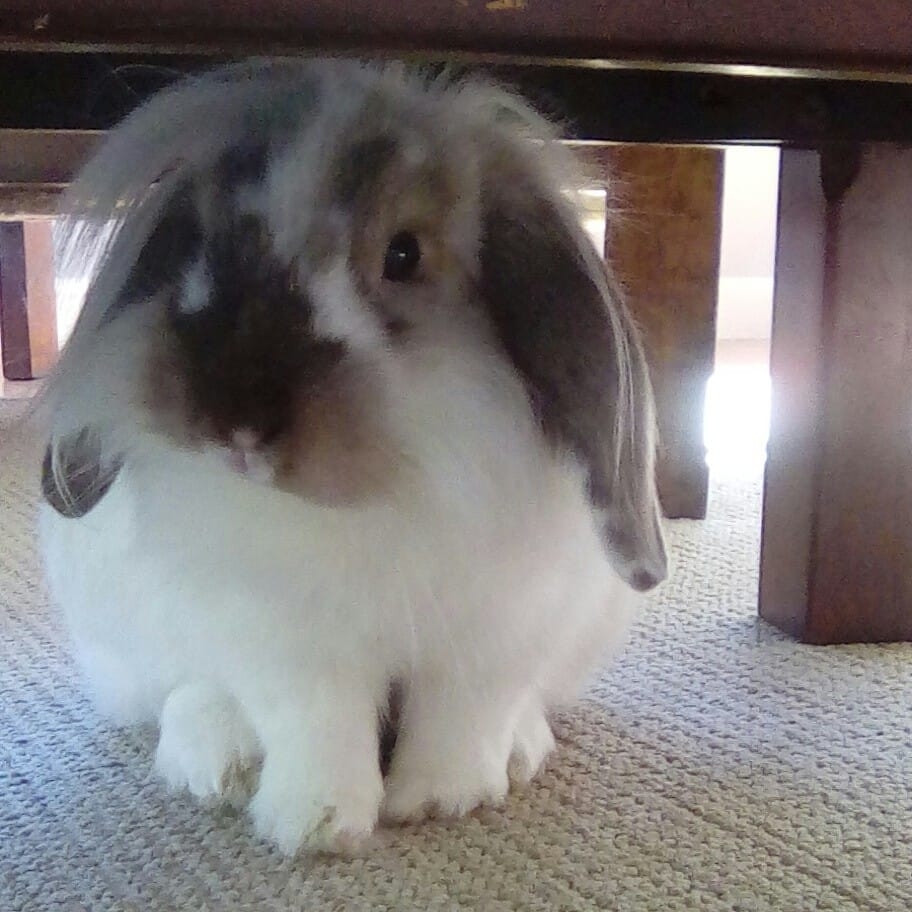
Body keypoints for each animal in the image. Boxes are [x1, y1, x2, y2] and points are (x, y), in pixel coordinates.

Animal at [37, 58, 667, 855]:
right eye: (199, 244)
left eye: (404, 253)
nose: (235, 426)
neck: (389, 487)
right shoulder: (286, 643)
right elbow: (317, 727)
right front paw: (316, 825)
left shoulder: (494, 636)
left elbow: (463, 716)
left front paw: (441, 802)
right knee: (183, 690)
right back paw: (215, 763)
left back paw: (524, 750)